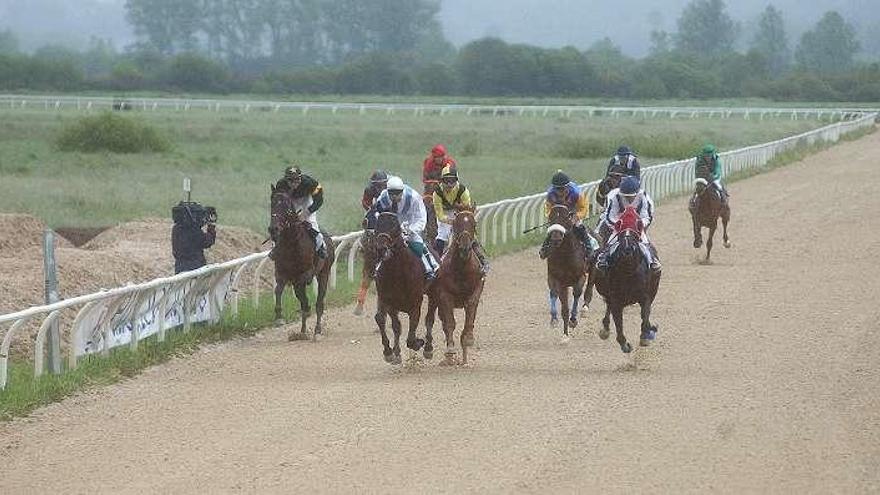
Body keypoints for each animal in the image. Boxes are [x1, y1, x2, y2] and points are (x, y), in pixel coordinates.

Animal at [270, 184, 336, 342]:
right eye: (272, 204)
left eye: (287, 206)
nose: (273, 229)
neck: (292, 243)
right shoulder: (281, 273)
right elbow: (278, 291)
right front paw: (279, 317)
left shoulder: (305, 275)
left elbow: (304, 297)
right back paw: (303, 330)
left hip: (324, 273)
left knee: (319, 303)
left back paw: (317, 330)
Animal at [372, 212, 434, 364]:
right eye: (377, 225)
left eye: (394, 225)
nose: (381, 249)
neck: (397, 271)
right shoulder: (388, 300)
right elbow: (391, 324)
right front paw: (390, 352)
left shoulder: (415, 302)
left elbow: (411, 336)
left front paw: (419, 342)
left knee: (430, 318)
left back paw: (428, 348)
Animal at [424, 207, 484, 366]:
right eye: (456, 224)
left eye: (474, 224)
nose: (465, 248)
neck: (461, 268)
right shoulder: (445, 295)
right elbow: (450, 323)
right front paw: (450, 350)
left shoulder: (477, 287)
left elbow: (471, 311)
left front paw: (468, 338)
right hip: (434, 298)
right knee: (437, 321)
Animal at [544, 202, 584, 338]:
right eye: (550, 218)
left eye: (566, 218)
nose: (556, 239)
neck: (566, 255)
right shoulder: (559, 280)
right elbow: (564, 307)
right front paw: (565, 334)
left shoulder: (581, 277)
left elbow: (577, 293)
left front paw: (573, 320)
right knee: (553, 293)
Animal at [592, 220, 660, 352]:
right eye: (620, 236)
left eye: (635, 237)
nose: (627, 250)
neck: (629, 275)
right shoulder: (616, 299)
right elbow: (618, 321)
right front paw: (624, 344)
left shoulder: (645, 296)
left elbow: (645, 315)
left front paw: (645, 336)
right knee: (608, 308)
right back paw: (605, 330)